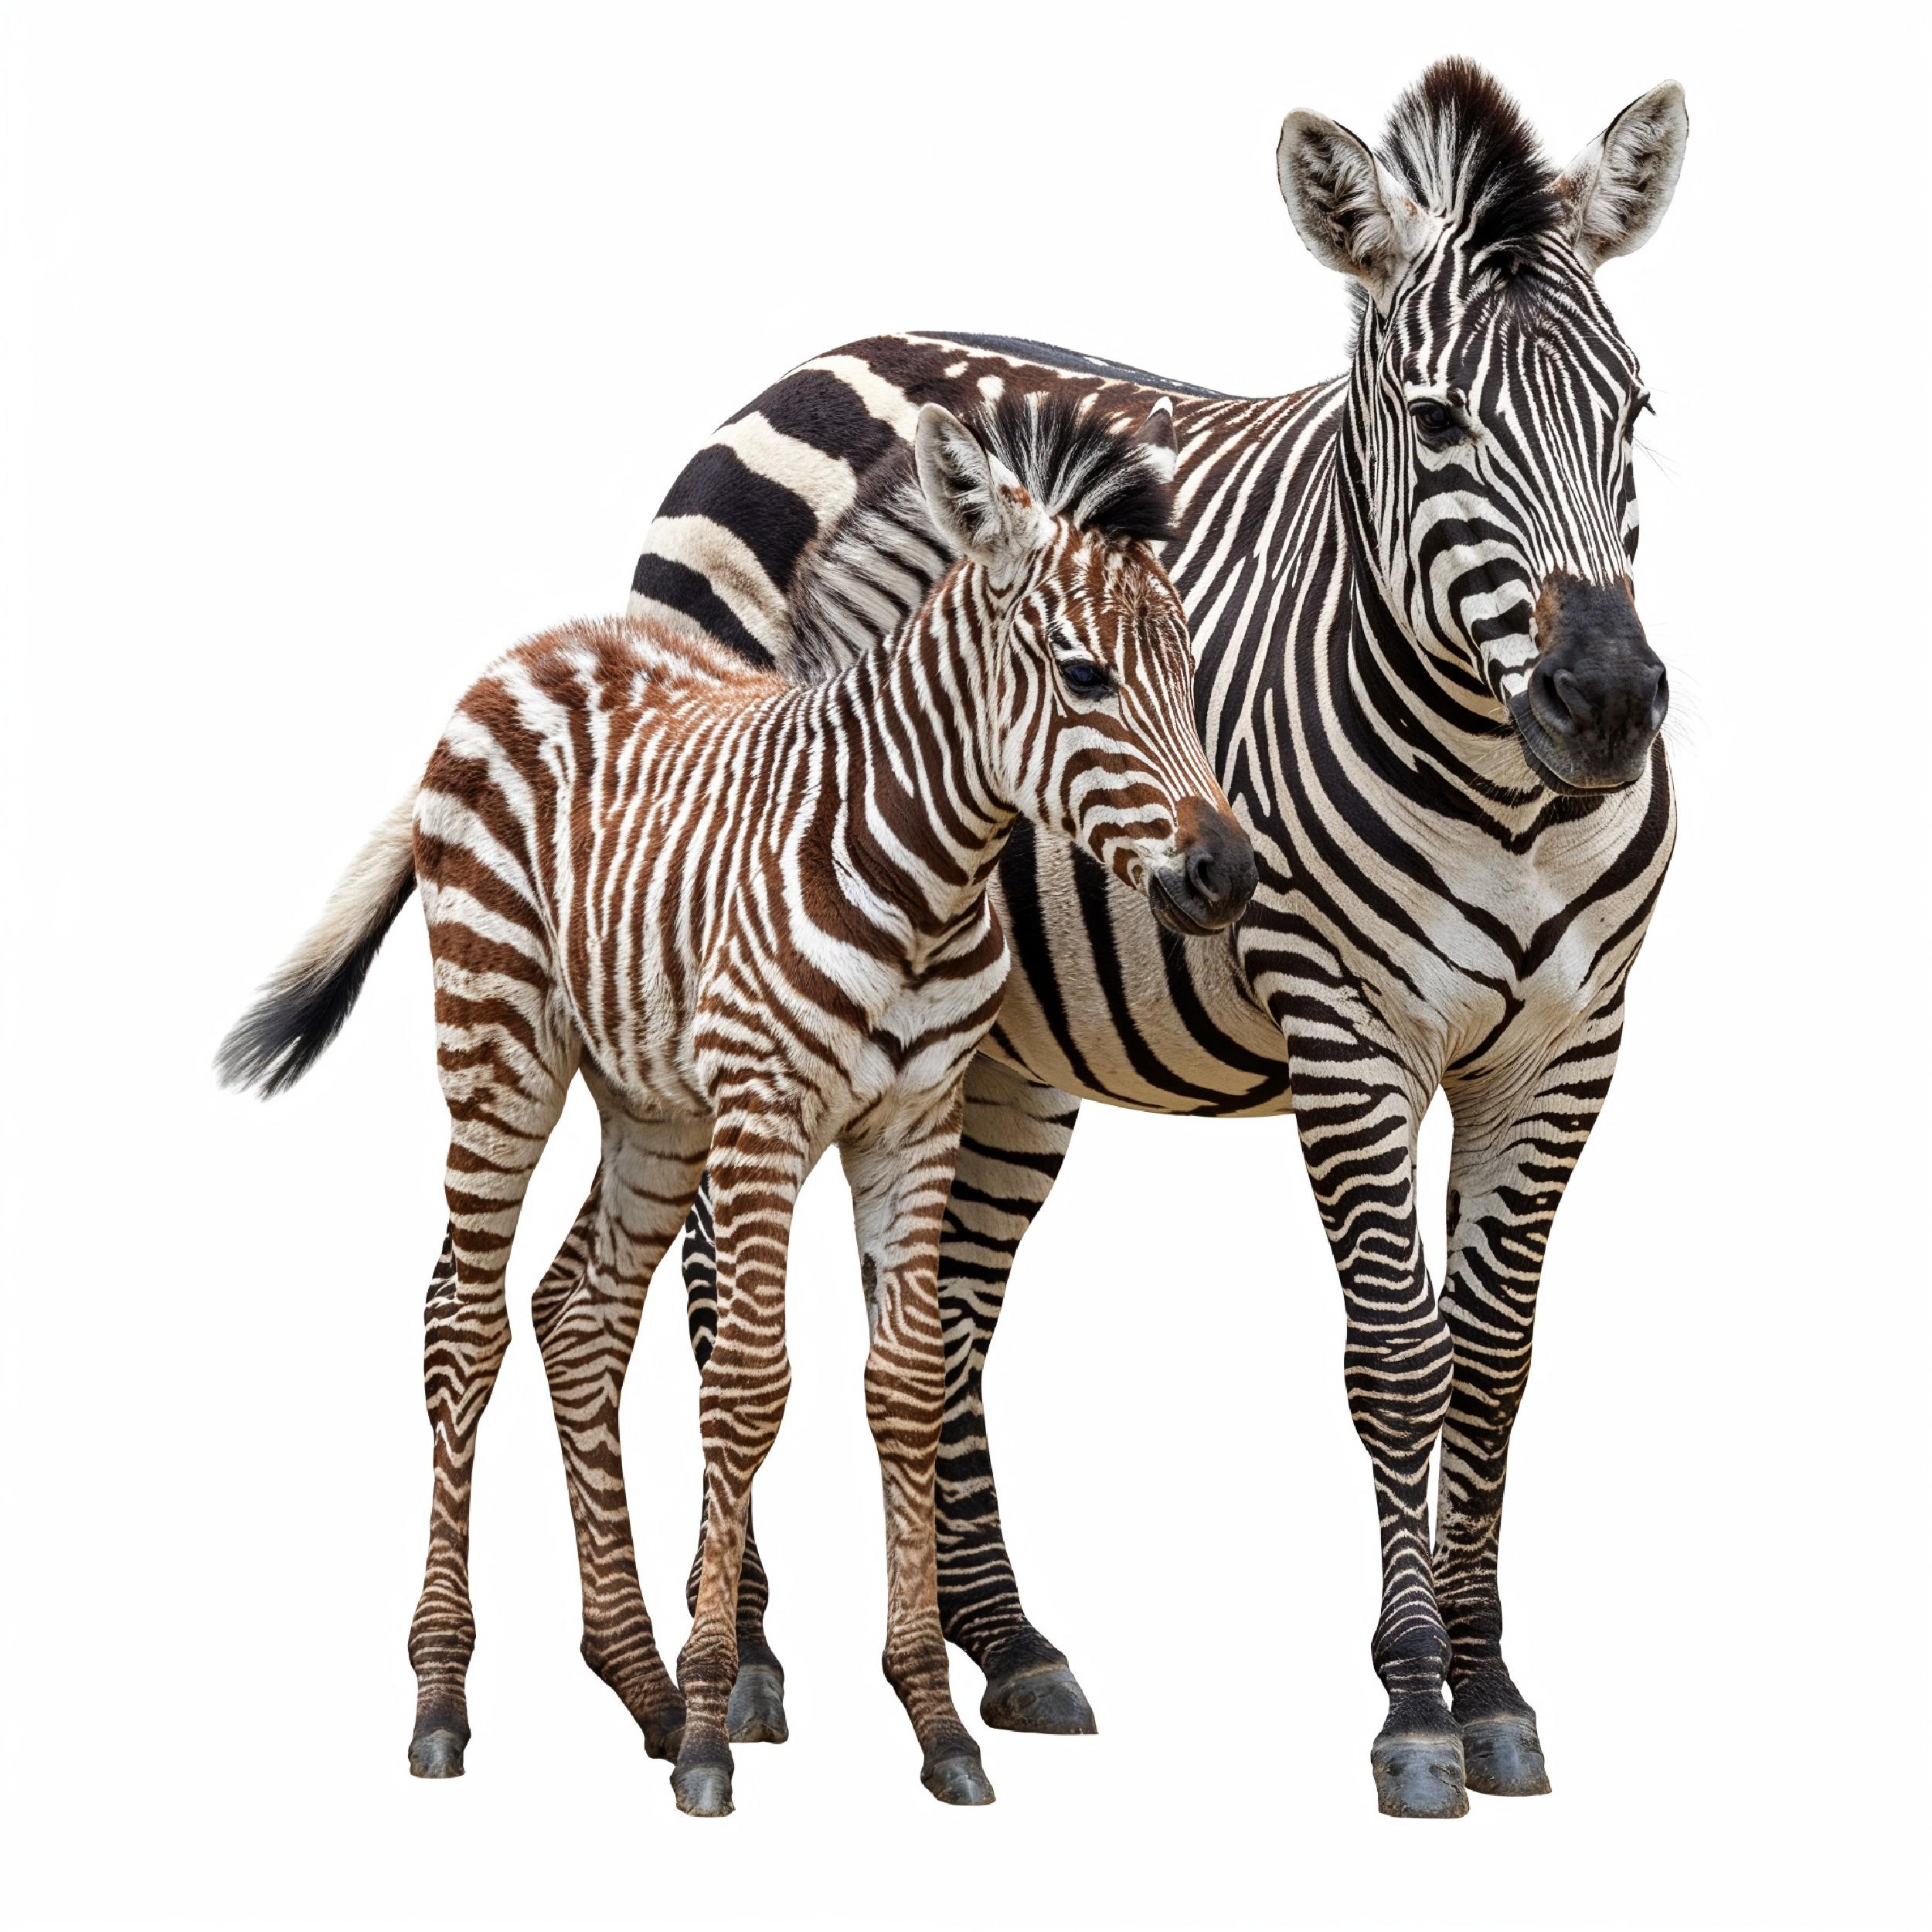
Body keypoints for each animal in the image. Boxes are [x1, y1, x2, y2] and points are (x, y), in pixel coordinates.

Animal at [217, 397, 1255, 1816]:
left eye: (1194, 681)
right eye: (1086, 678)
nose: (1228, 875)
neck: (923, 870)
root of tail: (531, 648)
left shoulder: (916, 1120)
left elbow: (907, 1383)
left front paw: (934, 1724)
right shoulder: (767, 1111)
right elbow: (751, 1385)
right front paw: (721, 1723)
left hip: (653, 1106)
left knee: (579, 1315)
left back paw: (639, 1686)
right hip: (501, 1044)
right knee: (461, 1326)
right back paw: (445, 1703)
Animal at [626, 60, 1689, 1818]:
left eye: (1635, 413)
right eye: (1434, 421)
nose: (1600, 703)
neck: (1509, 792)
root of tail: (833, 352)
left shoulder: (1567, 1048)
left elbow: (1494, 1361)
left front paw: (1492, 1686)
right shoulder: (1345, 1031)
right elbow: (1397, 1359)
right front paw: (1415, 1706)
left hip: (1003, 1049)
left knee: (949, 1318)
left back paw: (1006, 1645)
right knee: (727, 1284)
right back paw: (760, 1656)